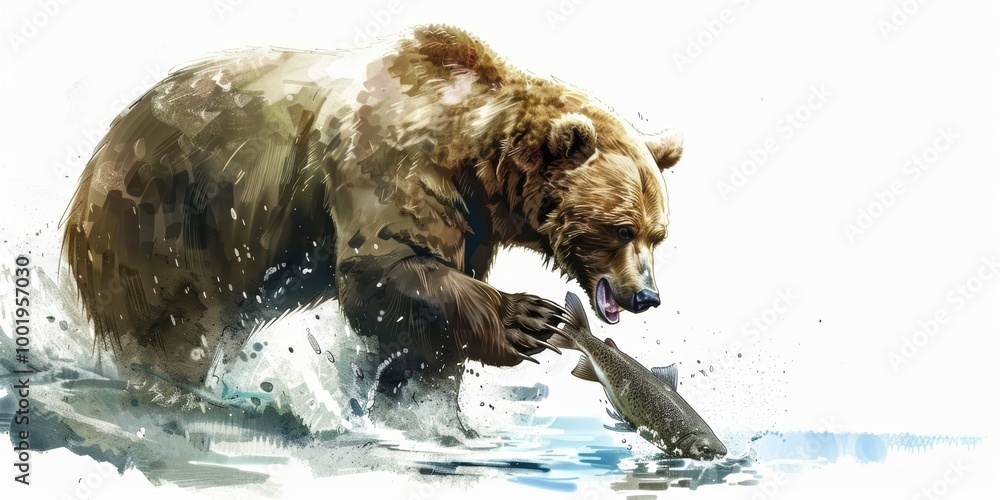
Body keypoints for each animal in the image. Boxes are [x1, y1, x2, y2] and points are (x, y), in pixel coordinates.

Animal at [62, 25, 682, 394]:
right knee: (172, 329)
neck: (474, 159)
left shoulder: (472, 224)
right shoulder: (391, 166)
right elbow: (384, 267)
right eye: (620, 227)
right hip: (171, 224)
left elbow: (421, 335)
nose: (647, 296)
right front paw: (527, 317)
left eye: (658, 235)